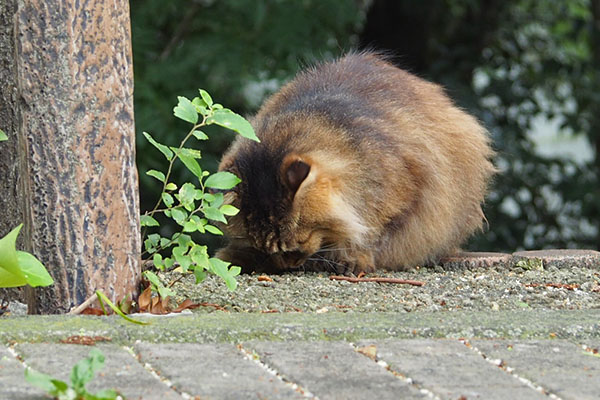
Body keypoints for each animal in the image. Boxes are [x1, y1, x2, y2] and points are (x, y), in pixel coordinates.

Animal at [213, 51, 494, 276]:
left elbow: (374, 234)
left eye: (297, 243)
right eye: (265, 248)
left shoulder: (407, 190)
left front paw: (352, 258)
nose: (287, 264)